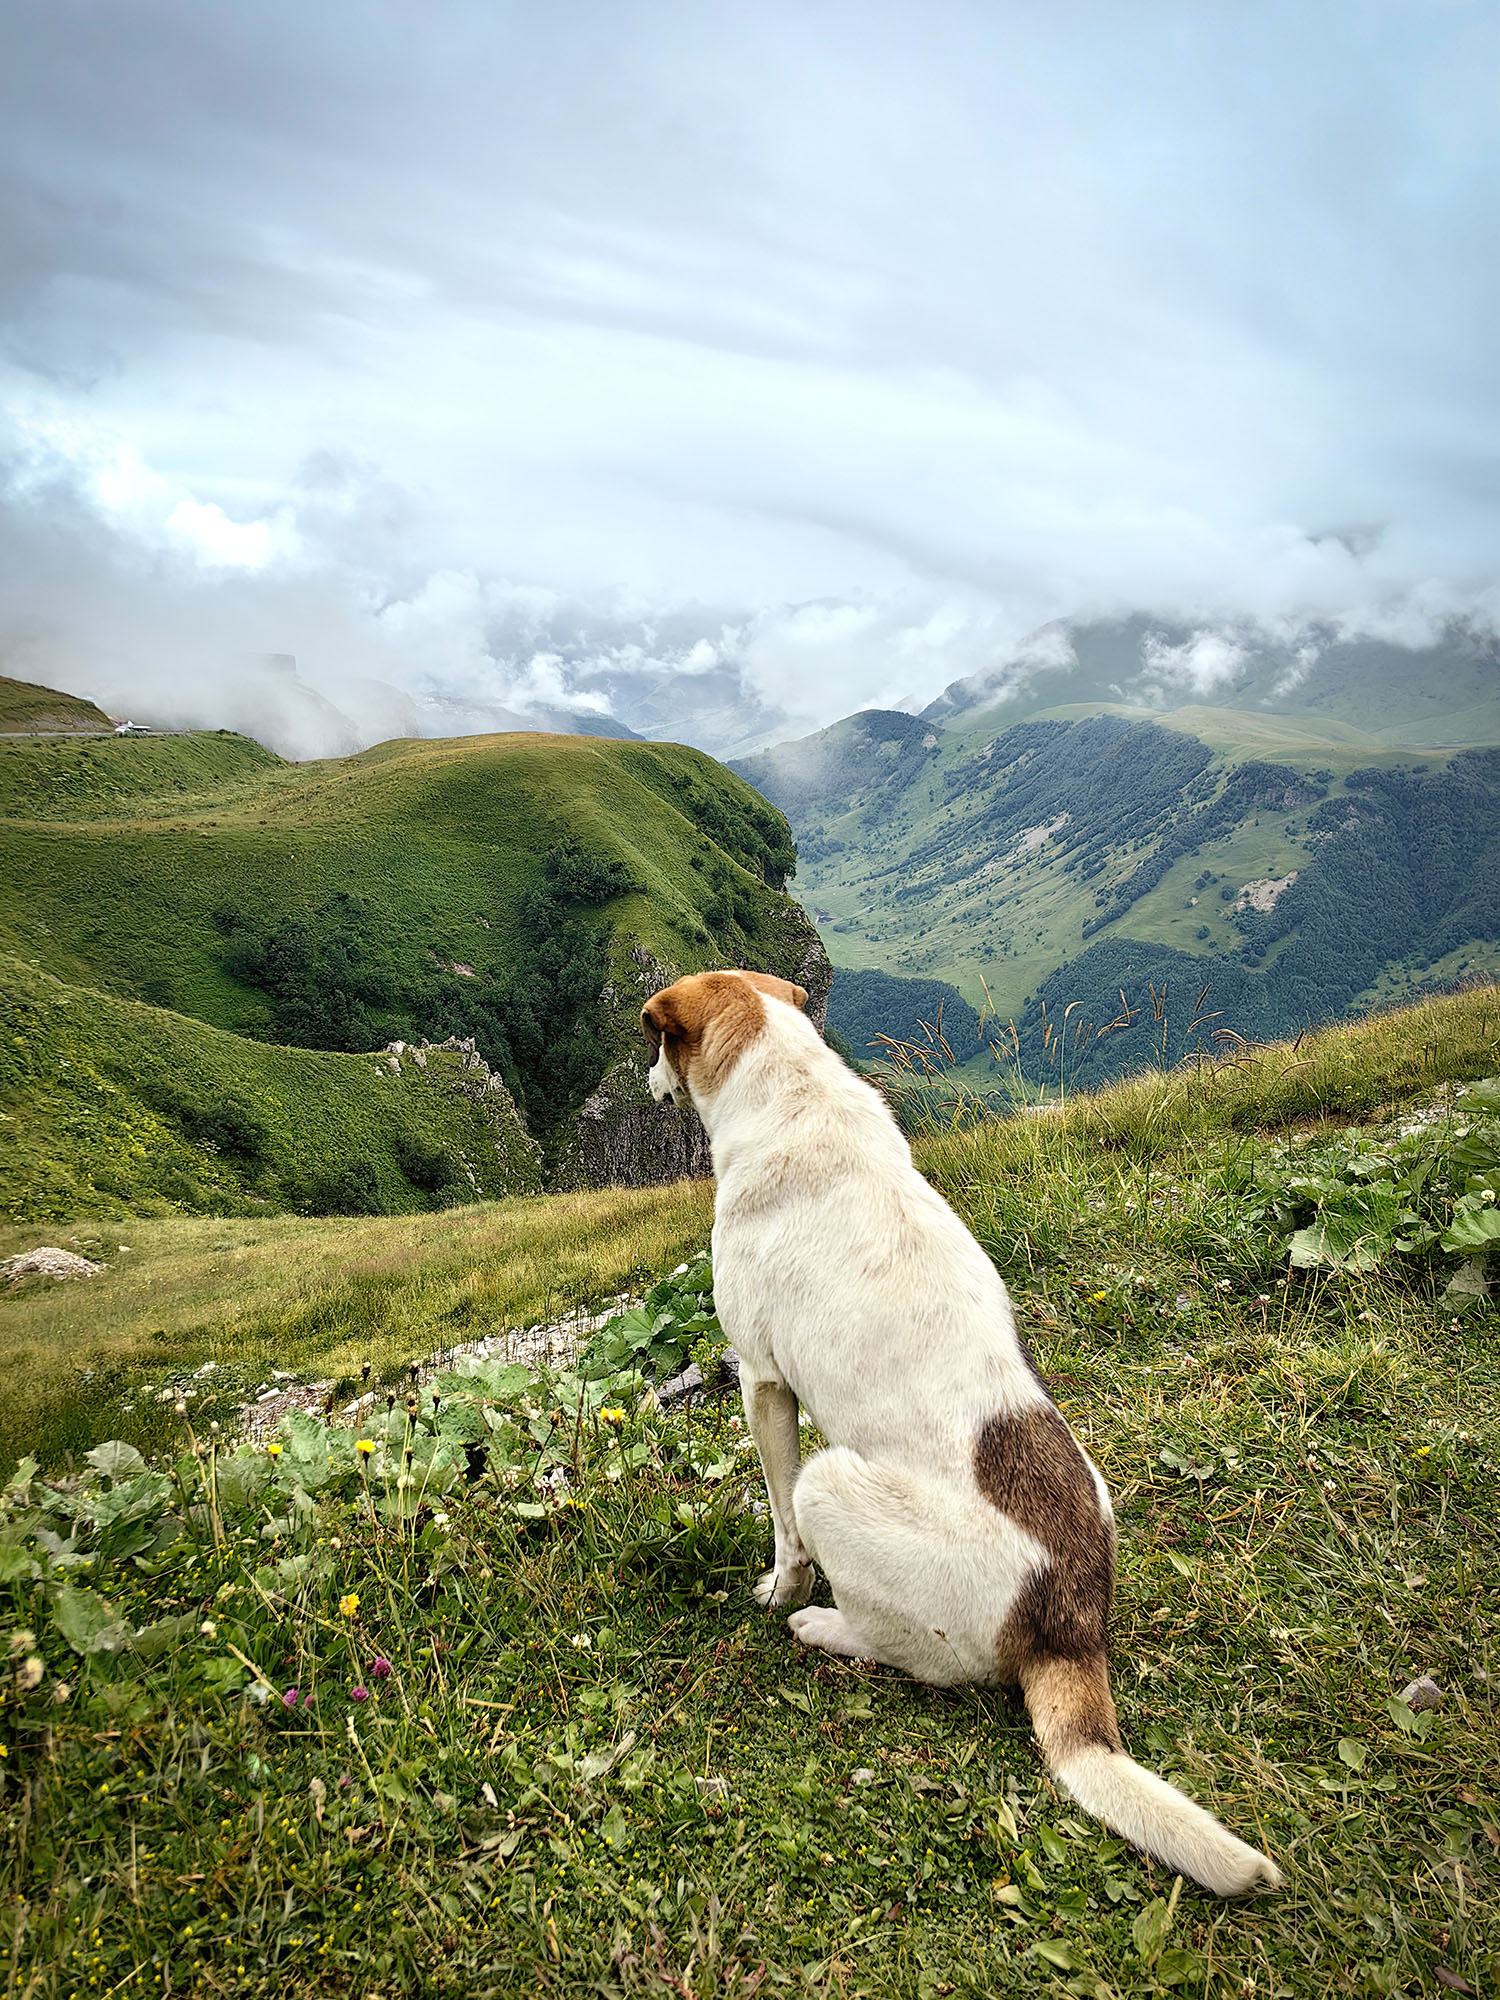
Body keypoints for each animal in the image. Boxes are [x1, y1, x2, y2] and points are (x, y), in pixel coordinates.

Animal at [640, 976, 1288, 1896]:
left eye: (655, 1042)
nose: (647, 1083)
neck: (793, 1090)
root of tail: (1069, 1631)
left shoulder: (764, 1383)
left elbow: (782, 1530)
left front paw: (780, 1592)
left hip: (832, 1484)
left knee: (918, 1656)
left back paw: (825, 1627)